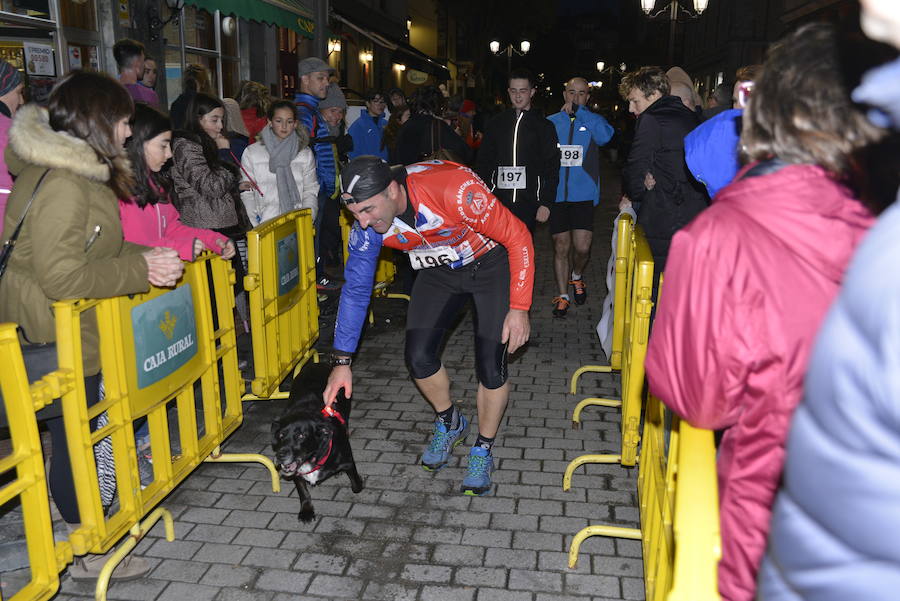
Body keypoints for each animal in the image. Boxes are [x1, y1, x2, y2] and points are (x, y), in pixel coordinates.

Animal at [270, 360, 362, 520]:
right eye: (281, 435)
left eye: (301, 436)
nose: (280, 456)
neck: (312, 457)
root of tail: (318, 363)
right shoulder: (296, 473)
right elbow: (303, 492)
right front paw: (306, 510)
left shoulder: (348, 462)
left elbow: (356, 486)